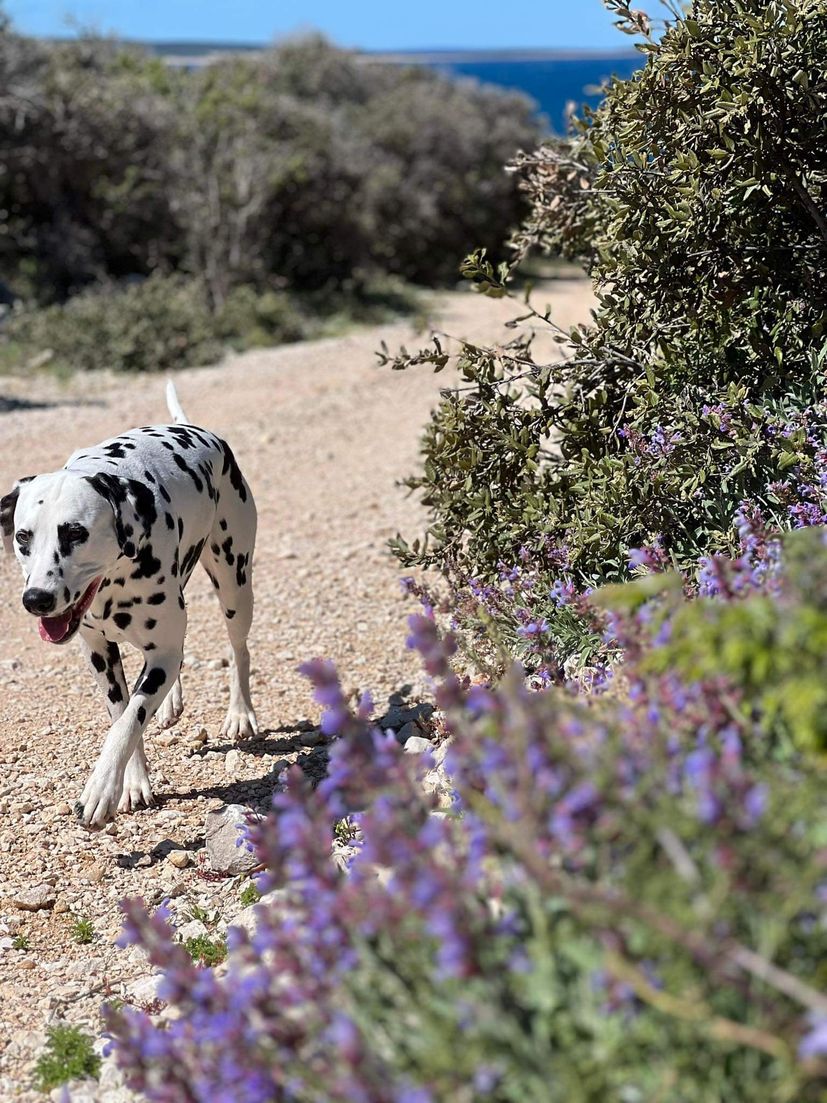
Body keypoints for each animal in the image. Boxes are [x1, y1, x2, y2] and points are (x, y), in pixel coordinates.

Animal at [0, 383, 258, 825]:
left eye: (75, 533)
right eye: (23, 537)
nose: (37, 600)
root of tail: (197, 430)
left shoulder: (162, 650)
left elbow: (128, 722)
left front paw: (101, 789)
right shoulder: (99, 653)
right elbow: (122, 714)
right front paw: (133, 782)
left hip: (235, 587)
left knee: (238, 649)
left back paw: (240, 713)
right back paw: (171, 702)